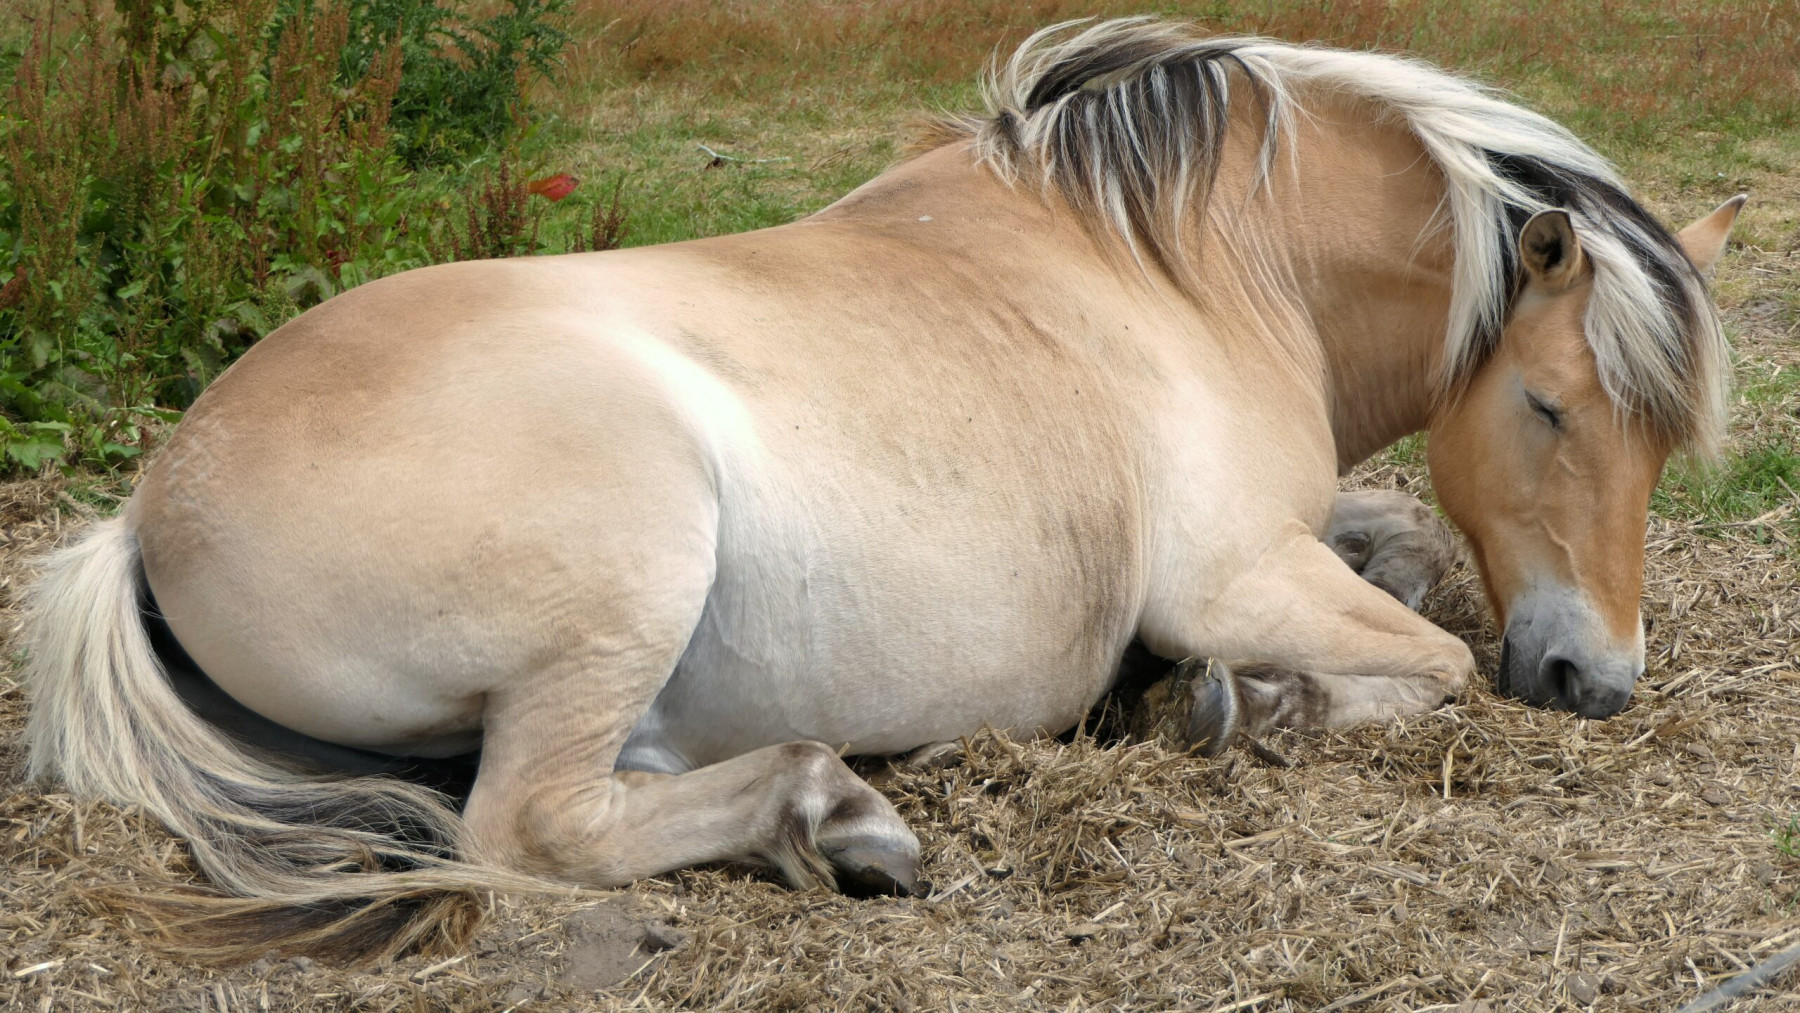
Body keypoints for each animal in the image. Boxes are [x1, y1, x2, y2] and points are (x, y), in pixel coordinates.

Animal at [22, 18, 1743, 960]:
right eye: (1548, 404)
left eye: (1661, 441)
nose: (1598, 678)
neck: (1186, 260)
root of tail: (144, 515)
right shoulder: (1234, 572)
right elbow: (1435, 655)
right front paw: (1250, 703)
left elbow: (1410, 556)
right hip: (626, 582)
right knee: (535, 822)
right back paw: (834, 810)